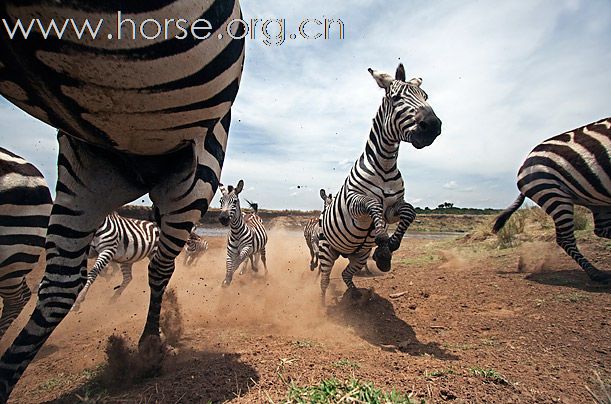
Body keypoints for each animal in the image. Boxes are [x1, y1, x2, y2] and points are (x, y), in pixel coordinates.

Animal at [318, 64, 442, 304]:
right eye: (395, 98)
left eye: (426, 96)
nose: (432, 125)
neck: (385, 165)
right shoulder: (355, 204)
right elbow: (372, 204)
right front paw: (383, 240)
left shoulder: (392, 210)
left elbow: (410, 212)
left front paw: (388, 250)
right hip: (326, 251)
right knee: (324, 280)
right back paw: (321, 306)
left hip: (359, 255)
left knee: (346, 274)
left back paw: (355, 296)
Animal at [492, 117, 611, 284]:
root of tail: (523, 165)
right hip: (555, 195)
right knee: (565, 238)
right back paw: (596, 274)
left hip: (595, 202)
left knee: (600, 230)